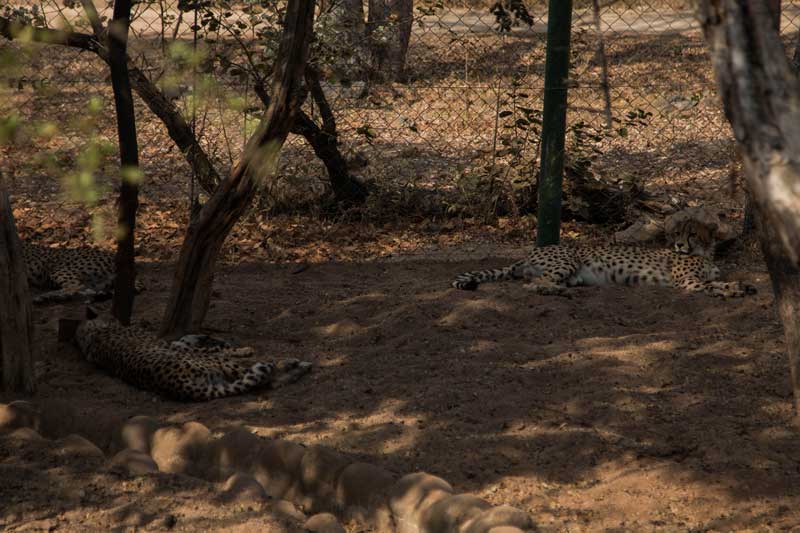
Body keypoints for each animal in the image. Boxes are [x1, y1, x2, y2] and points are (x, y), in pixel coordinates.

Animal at [59, 308, 314, 400]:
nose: (118, 317)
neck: (90, 336)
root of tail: (179, 387)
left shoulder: (175, 344)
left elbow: (187, 338)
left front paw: (201, 335)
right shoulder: (178, 348)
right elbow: (213, 346)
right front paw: (243, 348)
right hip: (220, 364)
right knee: (269, 378)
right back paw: (298, 364)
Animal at [450, 218, 756, 298]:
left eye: (692, 233)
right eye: (677, 233)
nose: (680, 245)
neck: (703, 253)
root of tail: (531, 251)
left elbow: (719, 282)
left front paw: (741, 286)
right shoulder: (686, 283)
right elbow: (708, 286)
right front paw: (732, 291)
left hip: (573, 273)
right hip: (568, 260)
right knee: (533, 284)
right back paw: (558, 292)